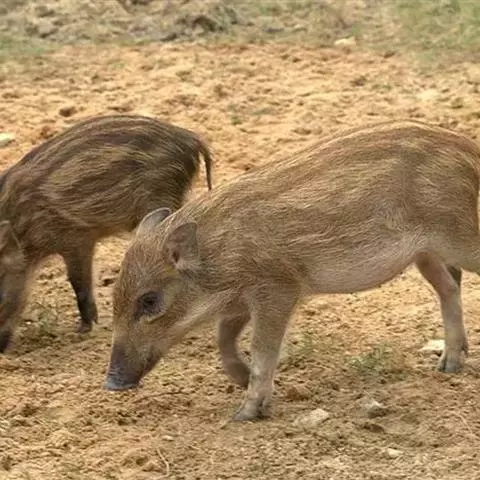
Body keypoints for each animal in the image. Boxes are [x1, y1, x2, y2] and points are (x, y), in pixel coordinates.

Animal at [105, 119, 479, 421]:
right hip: (426, 253)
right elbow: (224, 339)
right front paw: (241, 380)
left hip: (460, 237)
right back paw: (449, 364)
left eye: (150, 301)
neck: (218, 257)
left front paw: (246, 414)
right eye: (114, 297)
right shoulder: (242, 300)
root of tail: (470, 152)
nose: (111, 383)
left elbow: (262, 349)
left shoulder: (278, 289)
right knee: (449, 287)